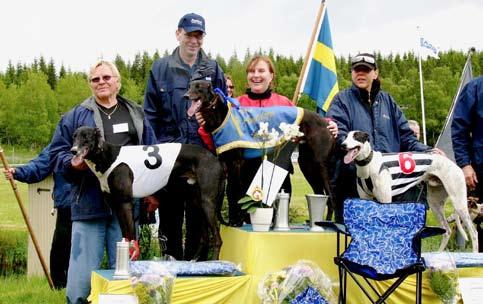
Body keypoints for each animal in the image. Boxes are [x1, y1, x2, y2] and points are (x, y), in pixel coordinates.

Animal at [342, 131, 478, 252]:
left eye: (356, 136)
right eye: (346, 136)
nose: (343, 145)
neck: (369, 164)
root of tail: (454, 164)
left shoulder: (385, 200)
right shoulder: (366, 200)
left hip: (459, 203)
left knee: (474, 232)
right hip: (435, 204)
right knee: (447, 231)